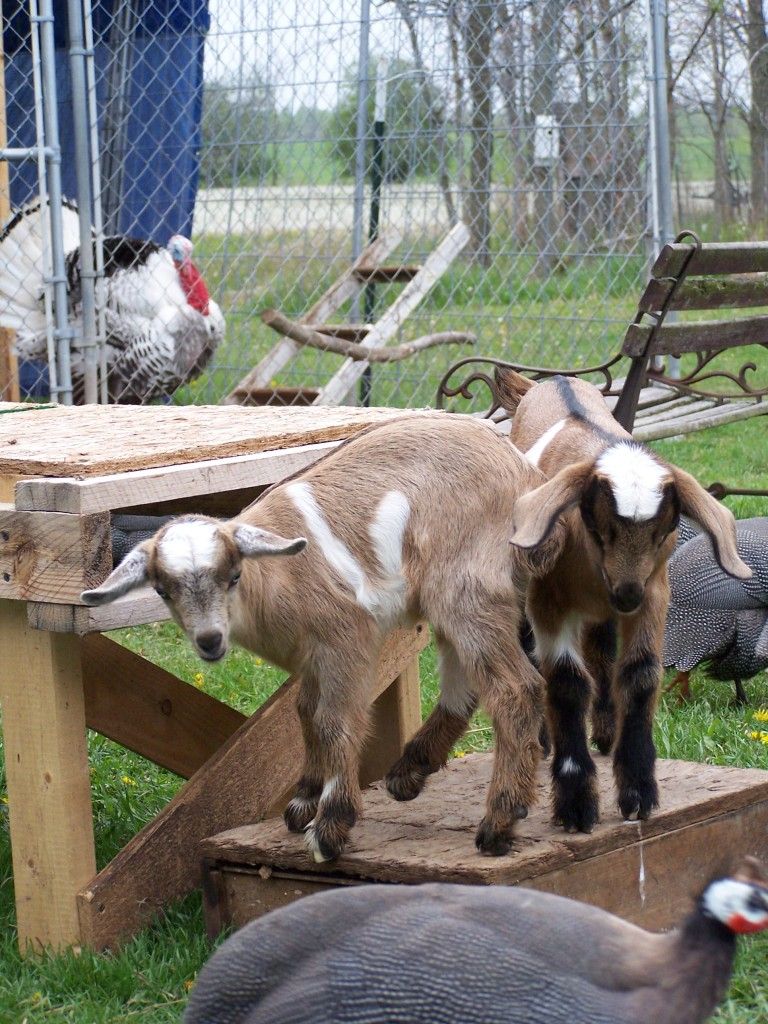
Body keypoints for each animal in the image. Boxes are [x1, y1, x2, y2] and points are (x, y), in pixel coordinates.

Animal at [81, 415, 561, 862]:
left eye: (233, 575)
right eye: (163, 590)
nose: (210, 641)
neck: (276, 577)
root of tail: (526, 476)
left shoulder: (346, 639)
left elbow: (335, 720)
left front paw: (331, 825)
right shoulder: (309, 659)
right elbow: (306, 713)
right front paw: (305, 799)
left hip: (468, 587)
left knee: (515, 688)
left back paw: (498, 822)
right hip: (454, 598)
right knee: (468, 681)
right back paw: (410, 773)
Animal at [495, 370, 751, 833]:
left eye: (665, 529)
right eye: (597, 525)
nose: (626, 593)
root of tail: (555, 380)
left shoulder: (654, 597)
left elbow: (639, 673)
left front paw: (637, 791)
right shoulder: (550, 602)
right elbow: (565, 681)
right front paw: (576, 803)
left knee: (601, 652)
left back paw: (605, 731)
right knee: (533, 651)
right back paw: (543, 739)